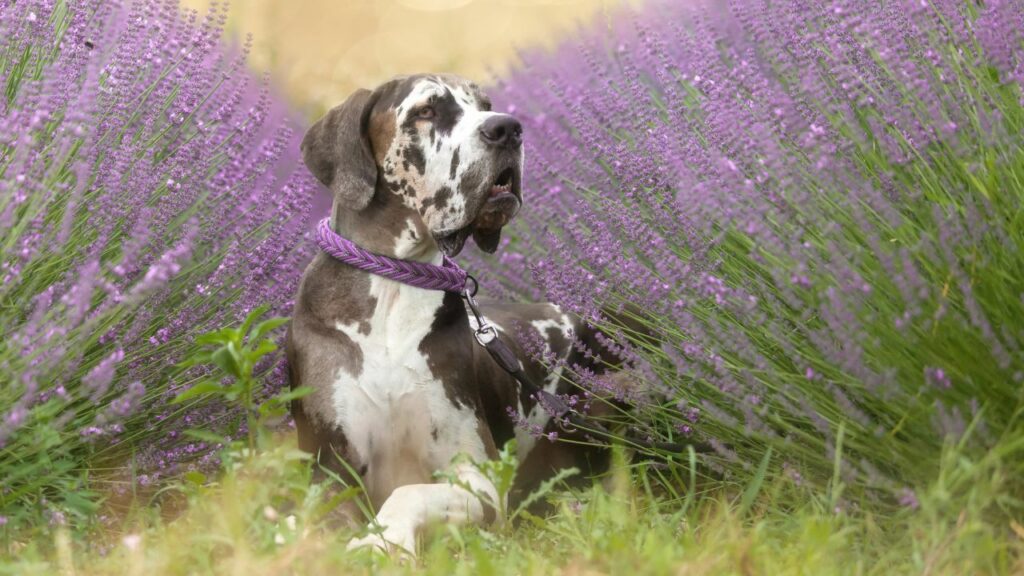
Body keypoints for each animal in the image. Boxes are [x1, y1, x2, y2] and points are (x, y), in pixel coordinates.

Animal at [284, 72, 610, 553]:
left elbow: (409, 491)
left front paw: (382, 541)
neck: (393, 286)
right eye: (426, 111)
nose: (507, 128)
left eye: (485, 105)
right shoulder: (328, 470)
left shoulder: (480, 475)